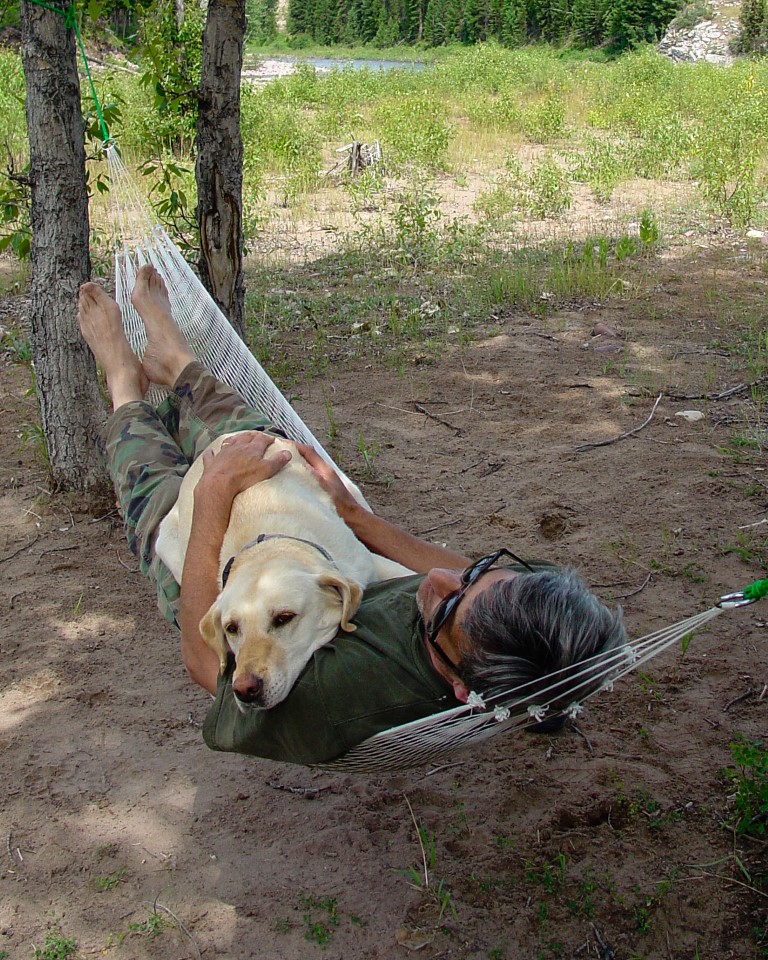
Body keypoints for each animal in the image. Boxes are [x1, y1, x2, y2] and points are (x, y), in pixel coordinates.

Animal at [155, 432, 414, 708]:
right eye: (231, 628)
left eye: (284, 618)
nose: (244, 689)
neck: (271, 545)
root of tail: (223, 438)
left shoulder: (371, 563)